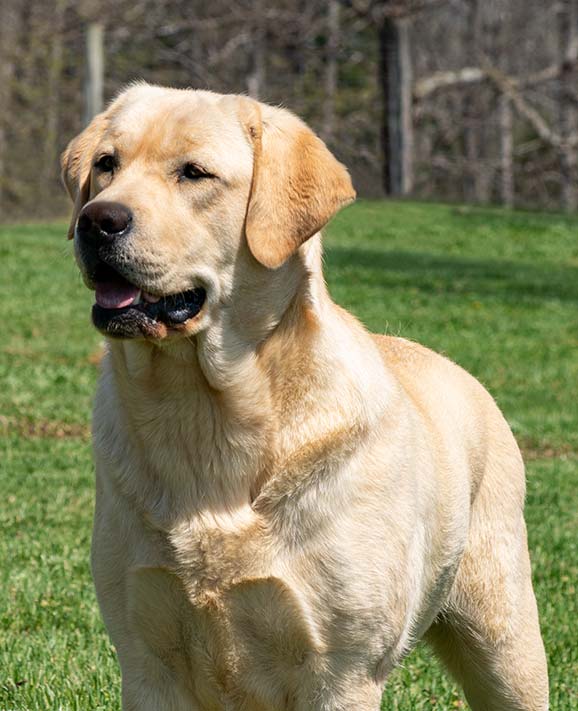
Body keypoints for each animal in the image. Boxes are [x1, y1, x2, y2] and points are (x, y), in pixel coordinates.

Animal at [60, 85, 548, 711]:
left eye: (194, 173)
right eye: (106, 165)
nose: (97, 221)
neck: (204, 412)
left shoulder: (342, 671)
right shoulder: (148, 663)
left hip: (504, 640)